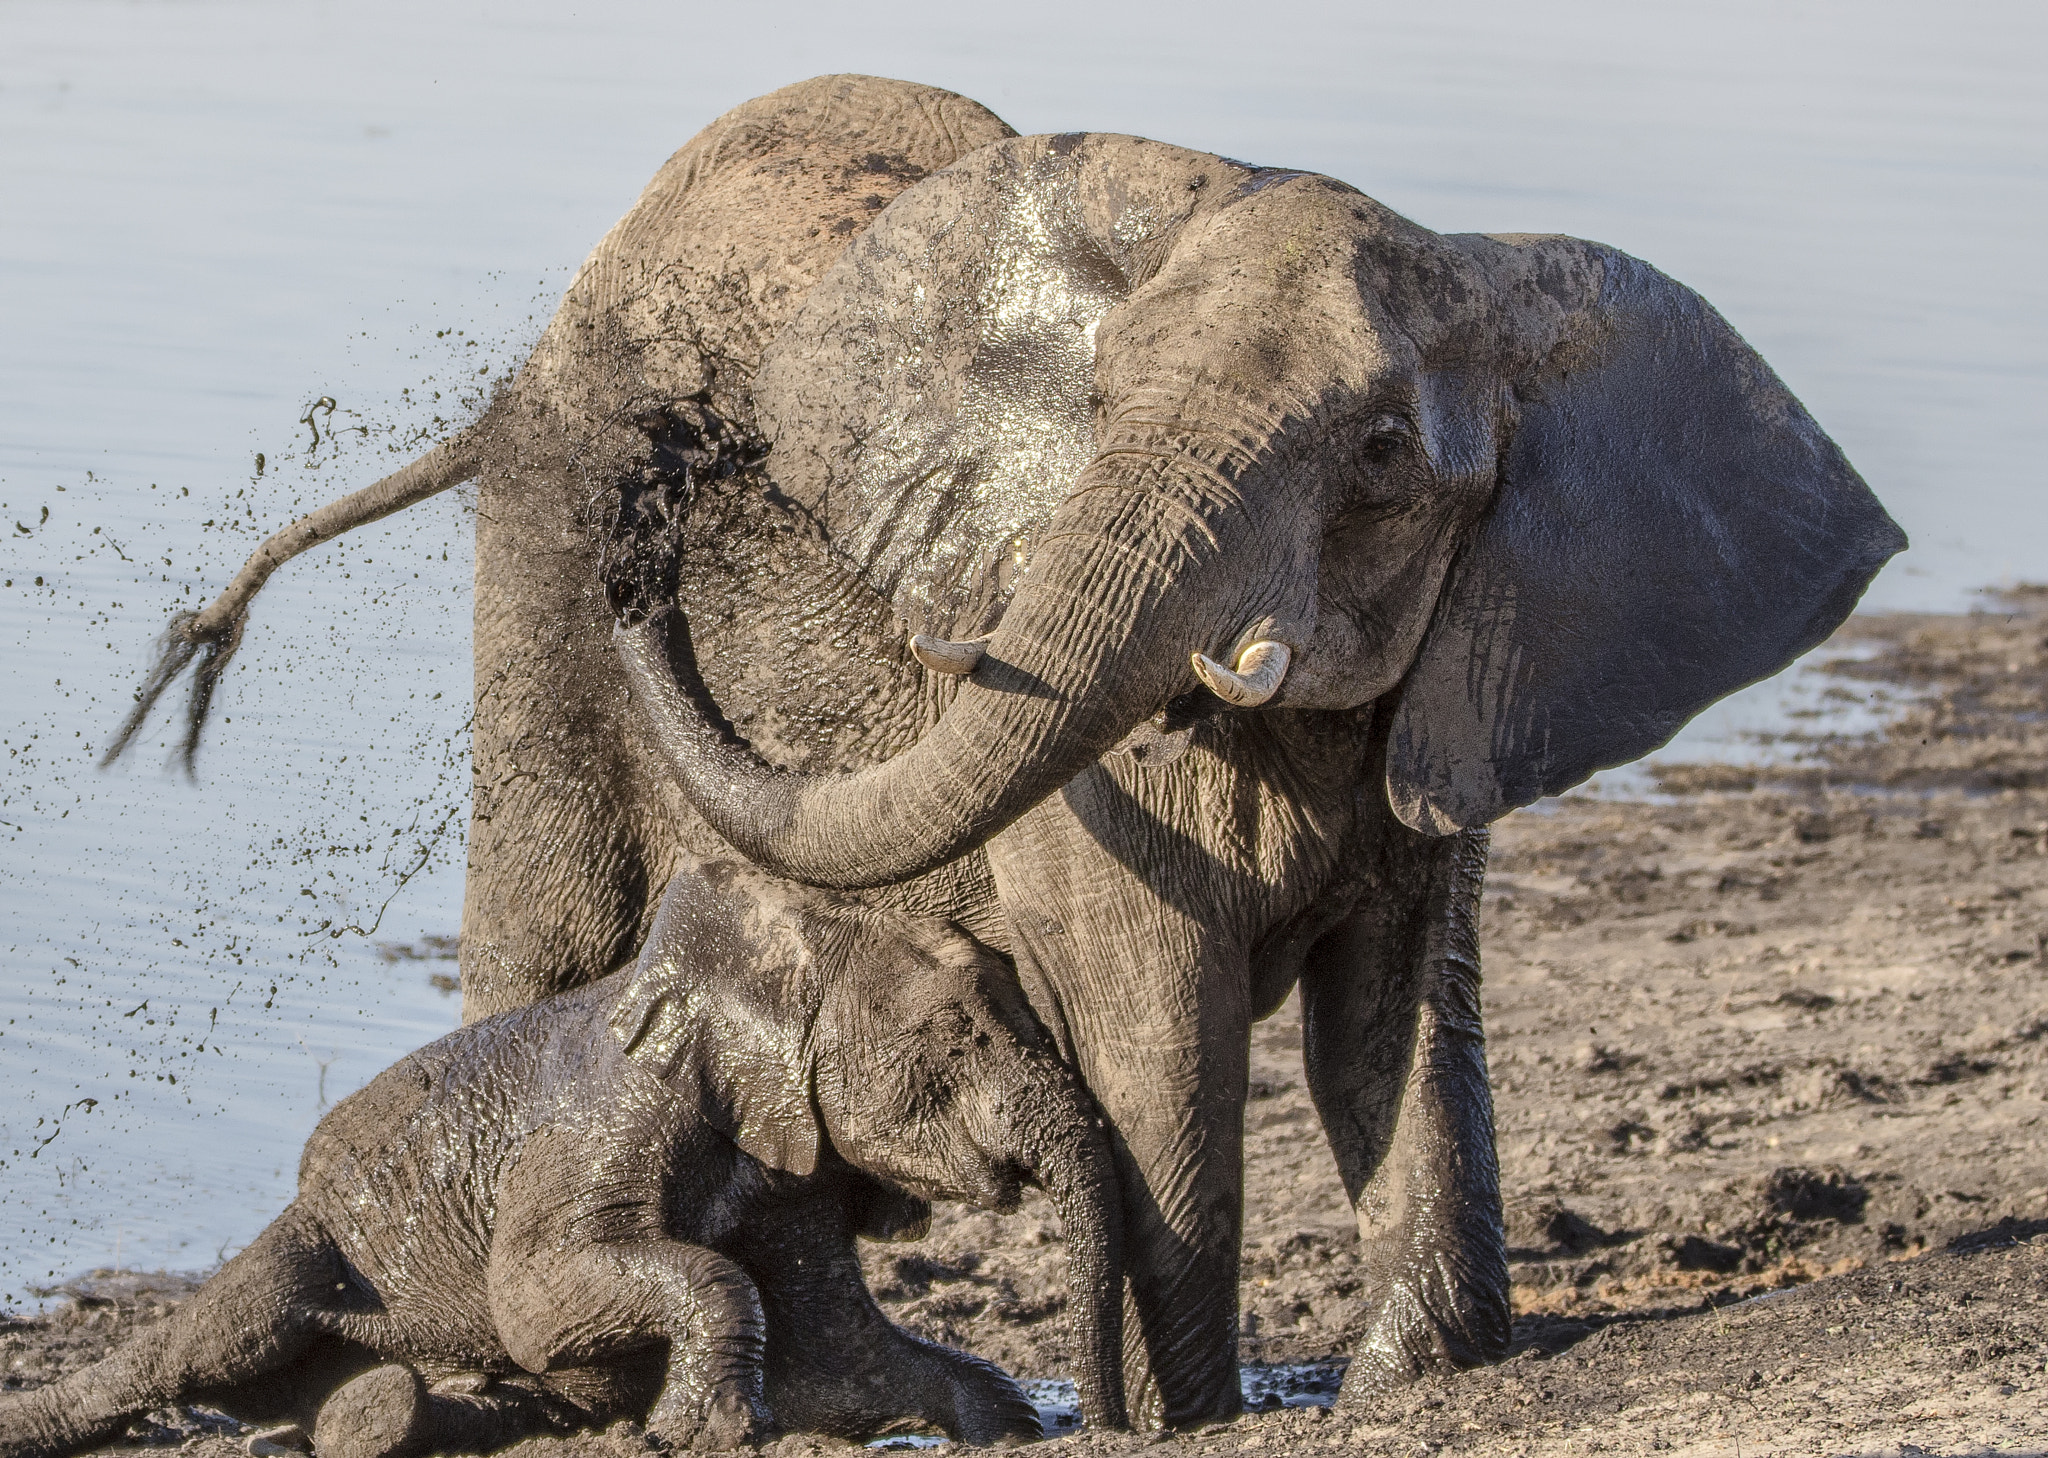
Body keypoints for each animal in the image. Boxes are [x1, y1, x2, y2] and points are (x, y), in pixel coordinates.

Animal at [0, 860, 1130, 1449]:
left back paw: (391, 1407)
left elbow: (844, 1341)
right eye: (958, 1040)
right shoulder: (605, 1126)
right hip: (311, 1241)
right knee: (214, 1335)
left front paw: (1006, 1421)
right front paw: (704, 1430)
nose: (1116, 1427)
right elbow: (537, 1303)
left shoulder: (789, 1168)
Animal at [116, 76, 1900, 1425]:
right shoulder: (1098, 805)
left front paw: (1420, 1383)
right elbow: (1156, 1035)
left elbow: (1394, 1026)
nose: (667, 488)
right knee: (549, 940)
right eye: (1101, 404)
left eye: (1388, 456)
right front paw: (1194, 1420)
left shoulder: (1467, 668)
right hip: (537, 582)